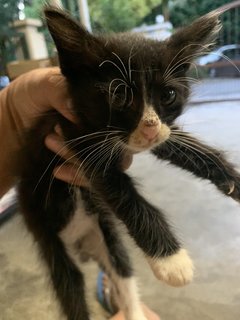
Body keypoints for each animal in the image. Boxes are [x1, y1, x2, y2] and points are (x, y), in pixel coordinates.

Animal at [18, 7, 240, 320]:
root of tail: (79, 244)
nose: (149, 129)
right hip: (52, 243)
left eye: (168, 95)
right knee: (70, 287)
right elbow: (122, 192)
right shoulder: (75, 135)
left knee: (122, 271)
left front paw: (233, 180)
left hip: (106, 236)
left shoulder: (158, 132)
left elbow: (184, 145)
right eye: (119, 95)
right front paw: (172, 261)